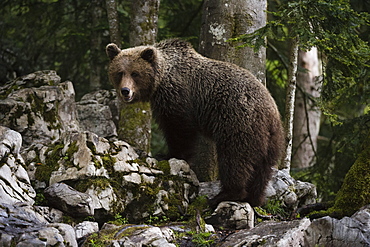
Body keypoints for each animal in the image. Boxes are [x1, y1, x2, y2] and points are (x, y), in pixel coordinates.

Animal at [105, 39, 284, 208]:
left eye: (135, 73)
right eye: (120, 73)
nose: (125, 91)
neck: (160, 80)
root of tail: (270, 111)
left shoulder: (177, 97)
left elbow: (179, 130)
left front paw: (168, 155)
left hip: (238, 122)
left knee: (234, 158)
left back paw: (225, 195)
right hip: (271, 138)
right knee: (262, 168)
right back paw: (255, 198)